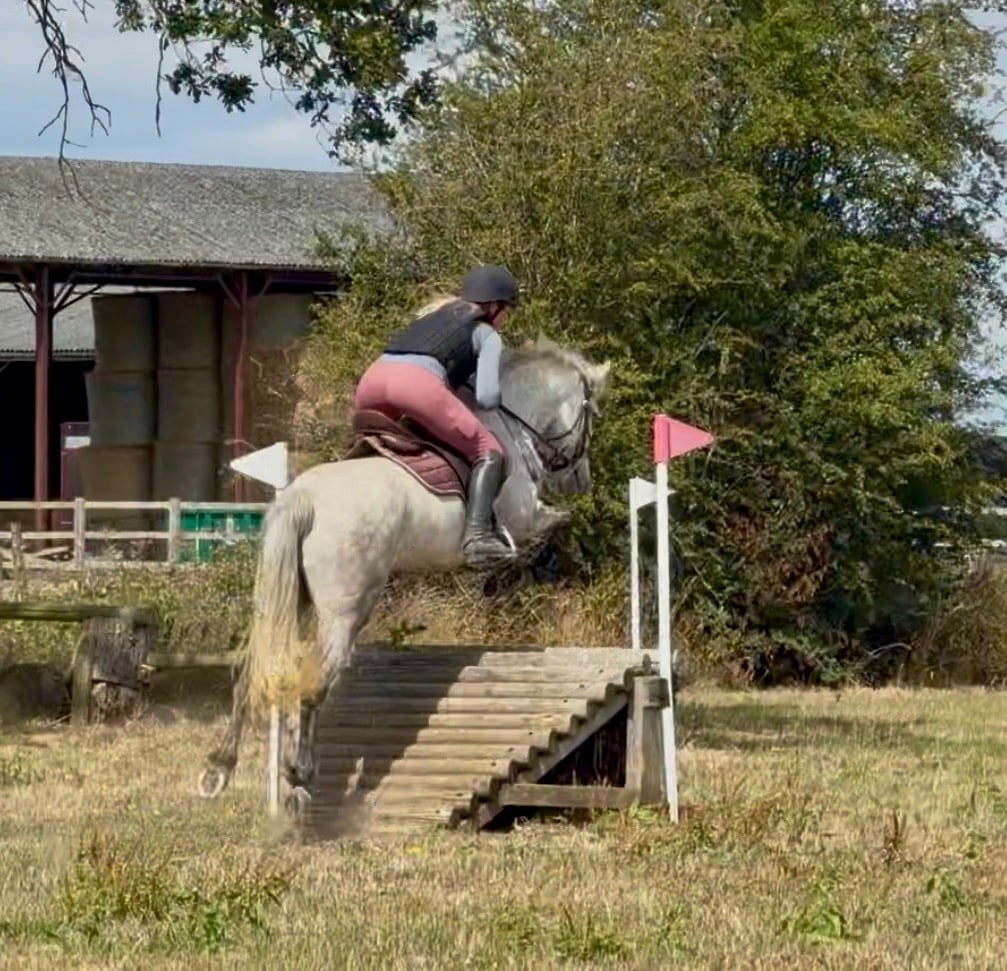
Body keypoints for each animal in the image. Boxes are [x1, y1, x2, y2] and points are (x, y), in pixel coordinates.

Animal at [196, 336, 611, 817]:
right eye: (589, 416)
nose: (579, 480)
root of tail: (305, 499)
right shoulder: (525, 516)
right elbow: (556, 526)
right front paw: (528, 568)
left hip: (284, 600)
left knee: (251, 676)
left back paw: (220, 768)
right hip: (345, 610)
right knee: (315, 683)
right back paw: (298, 777)